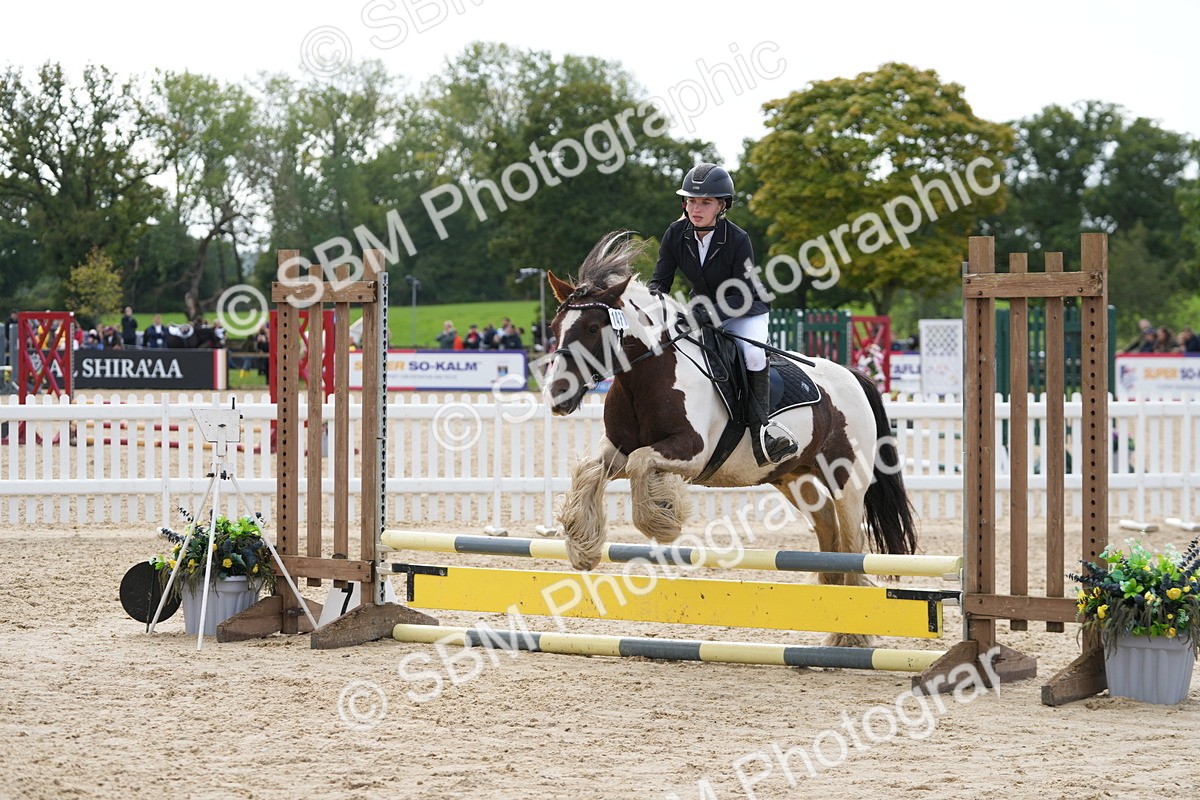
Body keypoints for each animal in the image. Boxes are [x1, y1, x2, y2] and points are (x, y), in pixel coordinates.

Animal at [542, 231, 917, 648]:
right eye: (555, 326)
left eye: (593, 328)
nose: (558, 395)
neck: (646, 375)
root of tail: (854, 376)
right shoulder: (617, 450)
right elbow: (589, 471)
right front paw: (582, 545)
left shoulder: (690, 453)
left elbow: (642, 464)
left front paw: (662, 520)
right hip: (793, 477)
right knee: (827, 532)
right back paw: (837, 627)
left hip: (847, 482)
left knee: (852, 547)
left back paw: (851, 637)